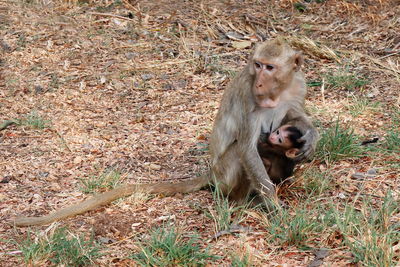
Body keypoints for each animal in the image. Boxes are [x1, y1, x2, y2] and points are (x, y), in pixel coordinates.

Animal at [14, 37, 318, 226]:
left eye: (270, 67)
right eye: (257, 65)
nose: (260, 83)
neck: (277, 92)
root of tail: (211, 173)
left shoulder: (298, 84)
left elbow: (295, 115)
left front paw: (310, 135)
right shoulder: (247, 94)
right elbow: (246, 149)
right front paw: (275, 208)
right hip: (224, 176)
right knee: (240, 157)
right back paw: (240, 202)